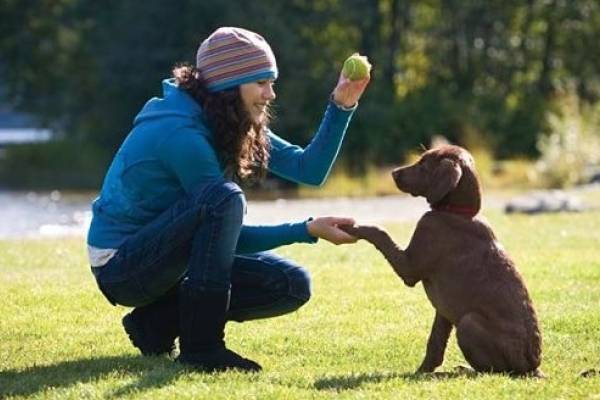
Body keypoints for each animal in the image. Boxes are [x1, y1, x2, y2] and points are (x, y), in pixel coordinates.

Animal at [342, 145, 544, 376]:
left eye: (423, 164)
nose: (393, 173)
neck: (459, 212)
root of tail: (532, 367)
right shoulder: (444, 310)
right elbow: (435, 343)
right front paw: (424, 370)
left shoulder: (409, 267)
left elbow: (379, 232)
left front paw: (352, 227)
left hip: (468, 323)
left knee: (493, 371)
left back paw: (465, 370)